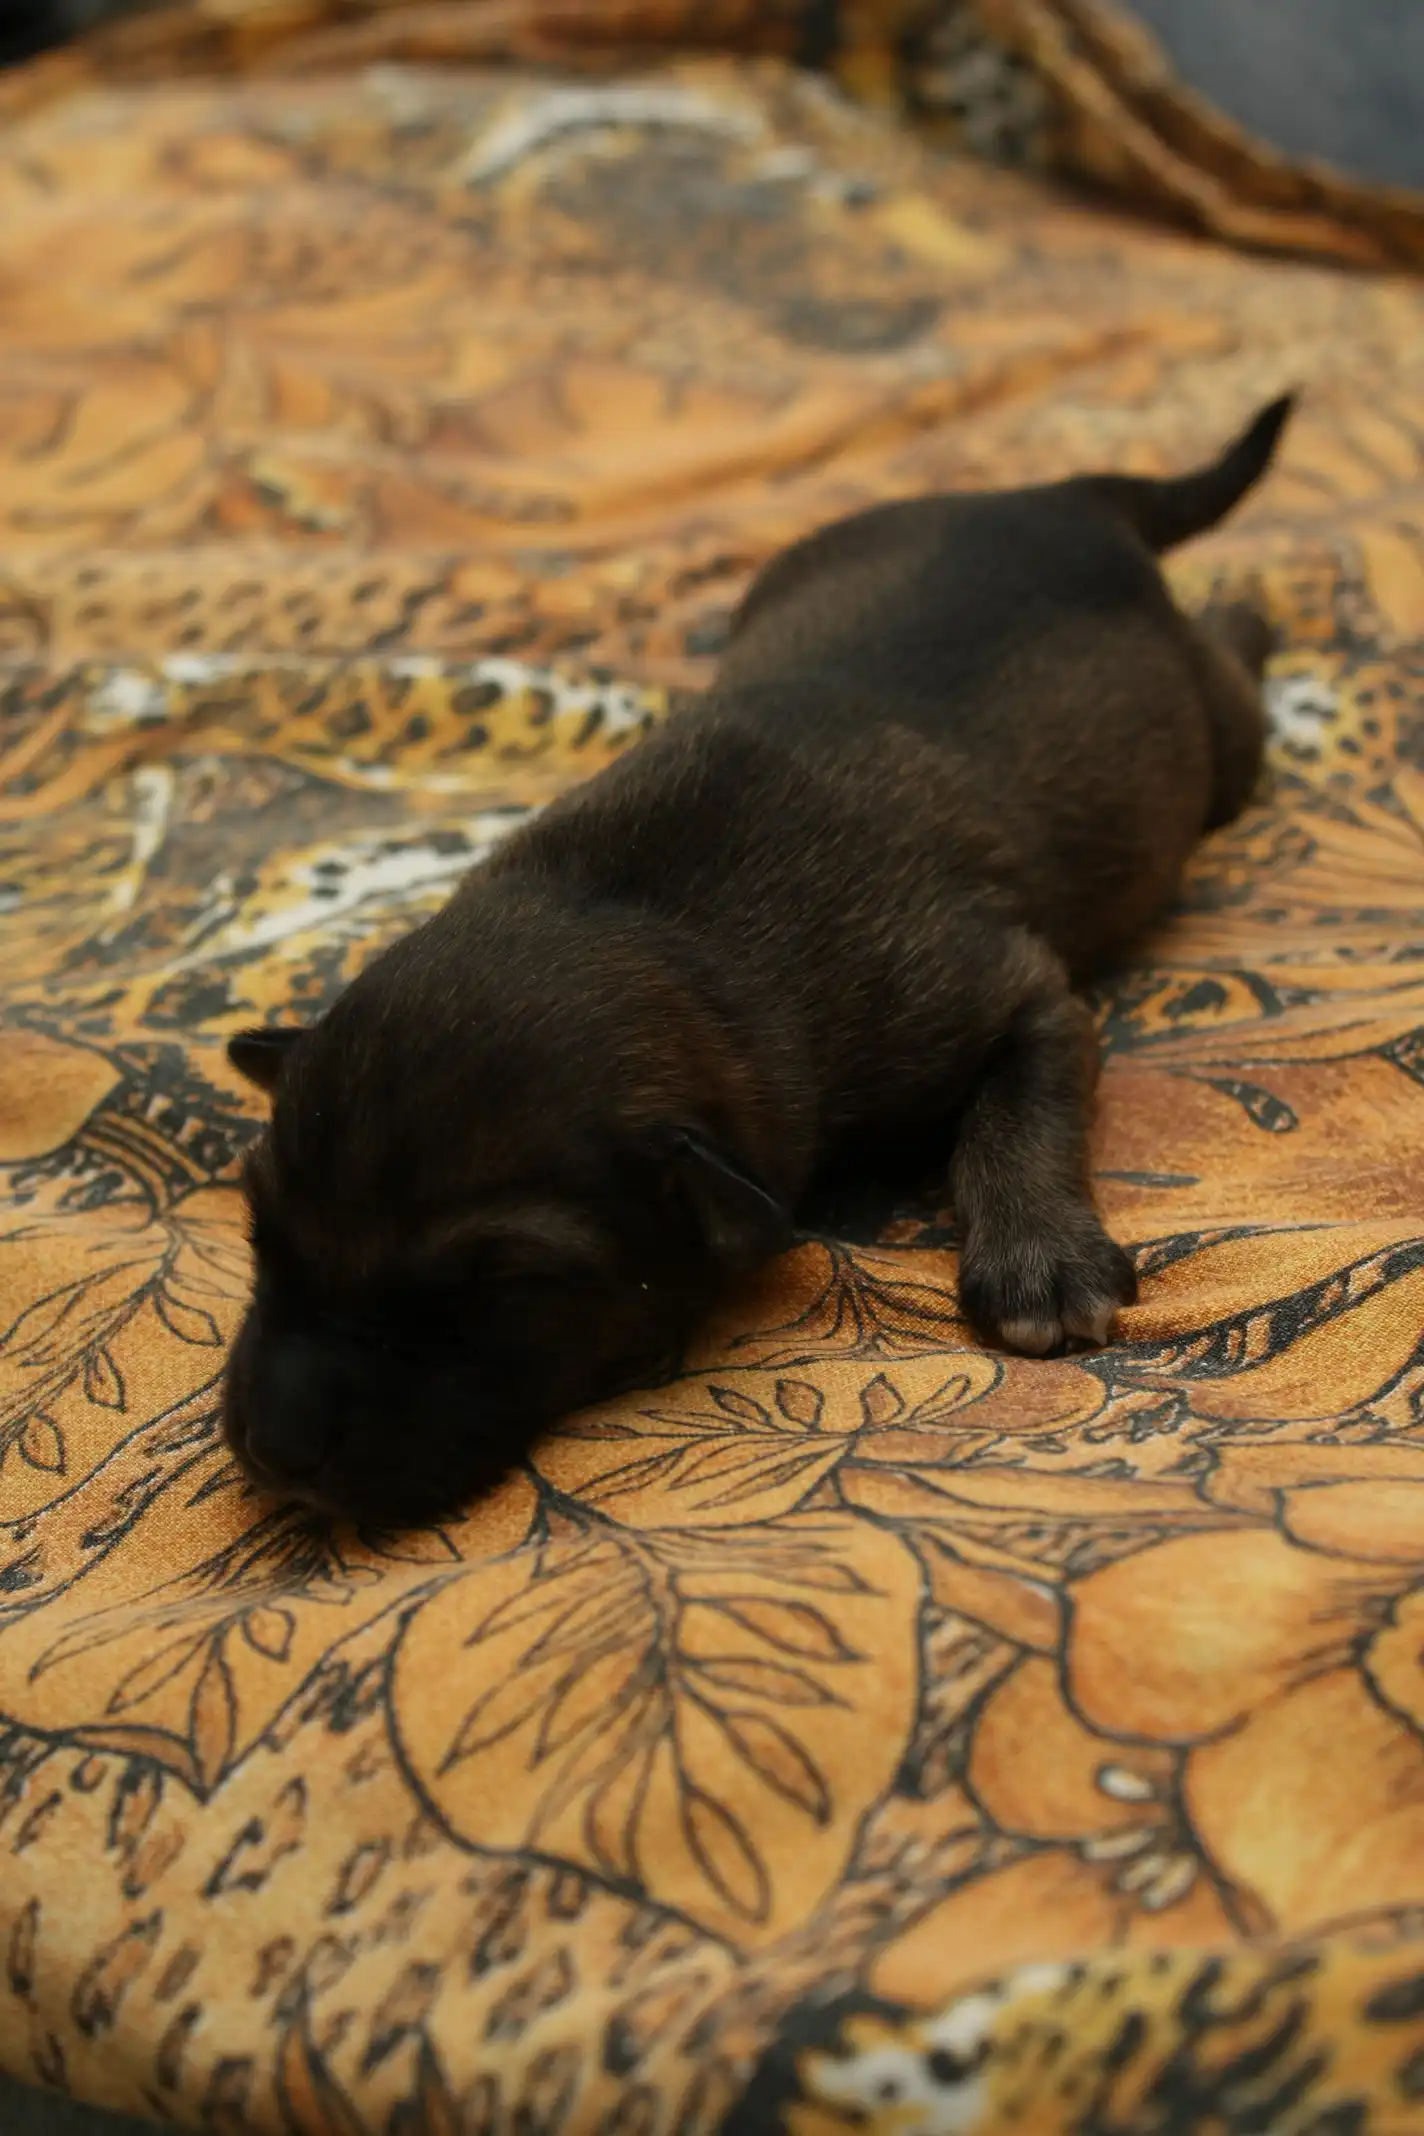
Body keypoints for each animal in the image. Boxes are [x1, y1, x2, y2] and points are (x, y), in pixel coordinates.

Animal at [224, 394, 1293, 1526]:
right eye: (257, 1227)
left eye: (503, 1289)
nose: (274, 1453)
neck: (652, 923)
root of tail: (1056, 494)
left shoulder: (1018, 994)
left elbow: (1014, 1114)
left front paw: (1037, 1256)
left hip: (1216, 745)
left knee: (1232, 672)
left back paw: (1253, 617)